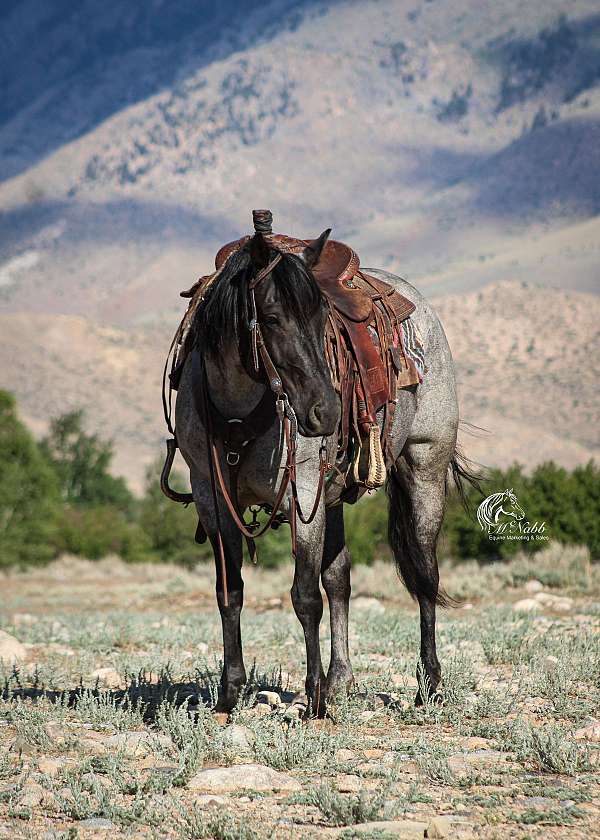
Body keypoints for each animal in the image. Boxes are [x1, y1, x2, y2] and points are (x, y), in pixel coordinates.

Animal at [174, 218, 474, 716]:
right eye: (271, 318)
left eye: (321, 318)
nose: (326, 412)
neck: (239, 410)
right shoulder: (210, 497)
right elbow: (230, 591)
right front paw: (229, 692)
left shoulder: (303, 493)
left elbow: (305, 596)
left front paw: (313, 696)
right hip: (332, 499)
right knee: (340, 580)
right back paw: (341, 680)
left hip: (423, 469)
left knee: (425, 576)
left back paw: (428, 684)